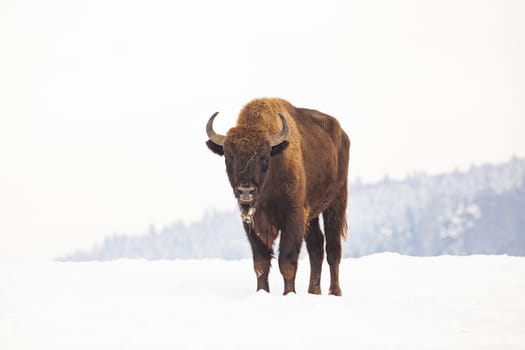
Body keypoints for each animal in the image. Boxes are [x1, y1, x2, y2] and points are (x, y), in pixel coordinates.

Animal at [207, 98, 350, 296]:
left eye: (264, 157)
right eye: (228, 157)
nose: (246, 191)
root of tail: (342, 134)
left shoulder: (294, 217)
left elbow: (287, 263)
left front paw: (289, 294)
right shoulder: (252, 224)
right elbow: (261, 264)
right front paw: (262, 293)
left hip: (336, 202)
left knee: (332, 248)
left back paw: (334, 292)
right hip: (312, 215)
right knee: (316, 247)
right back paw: (313, 291)